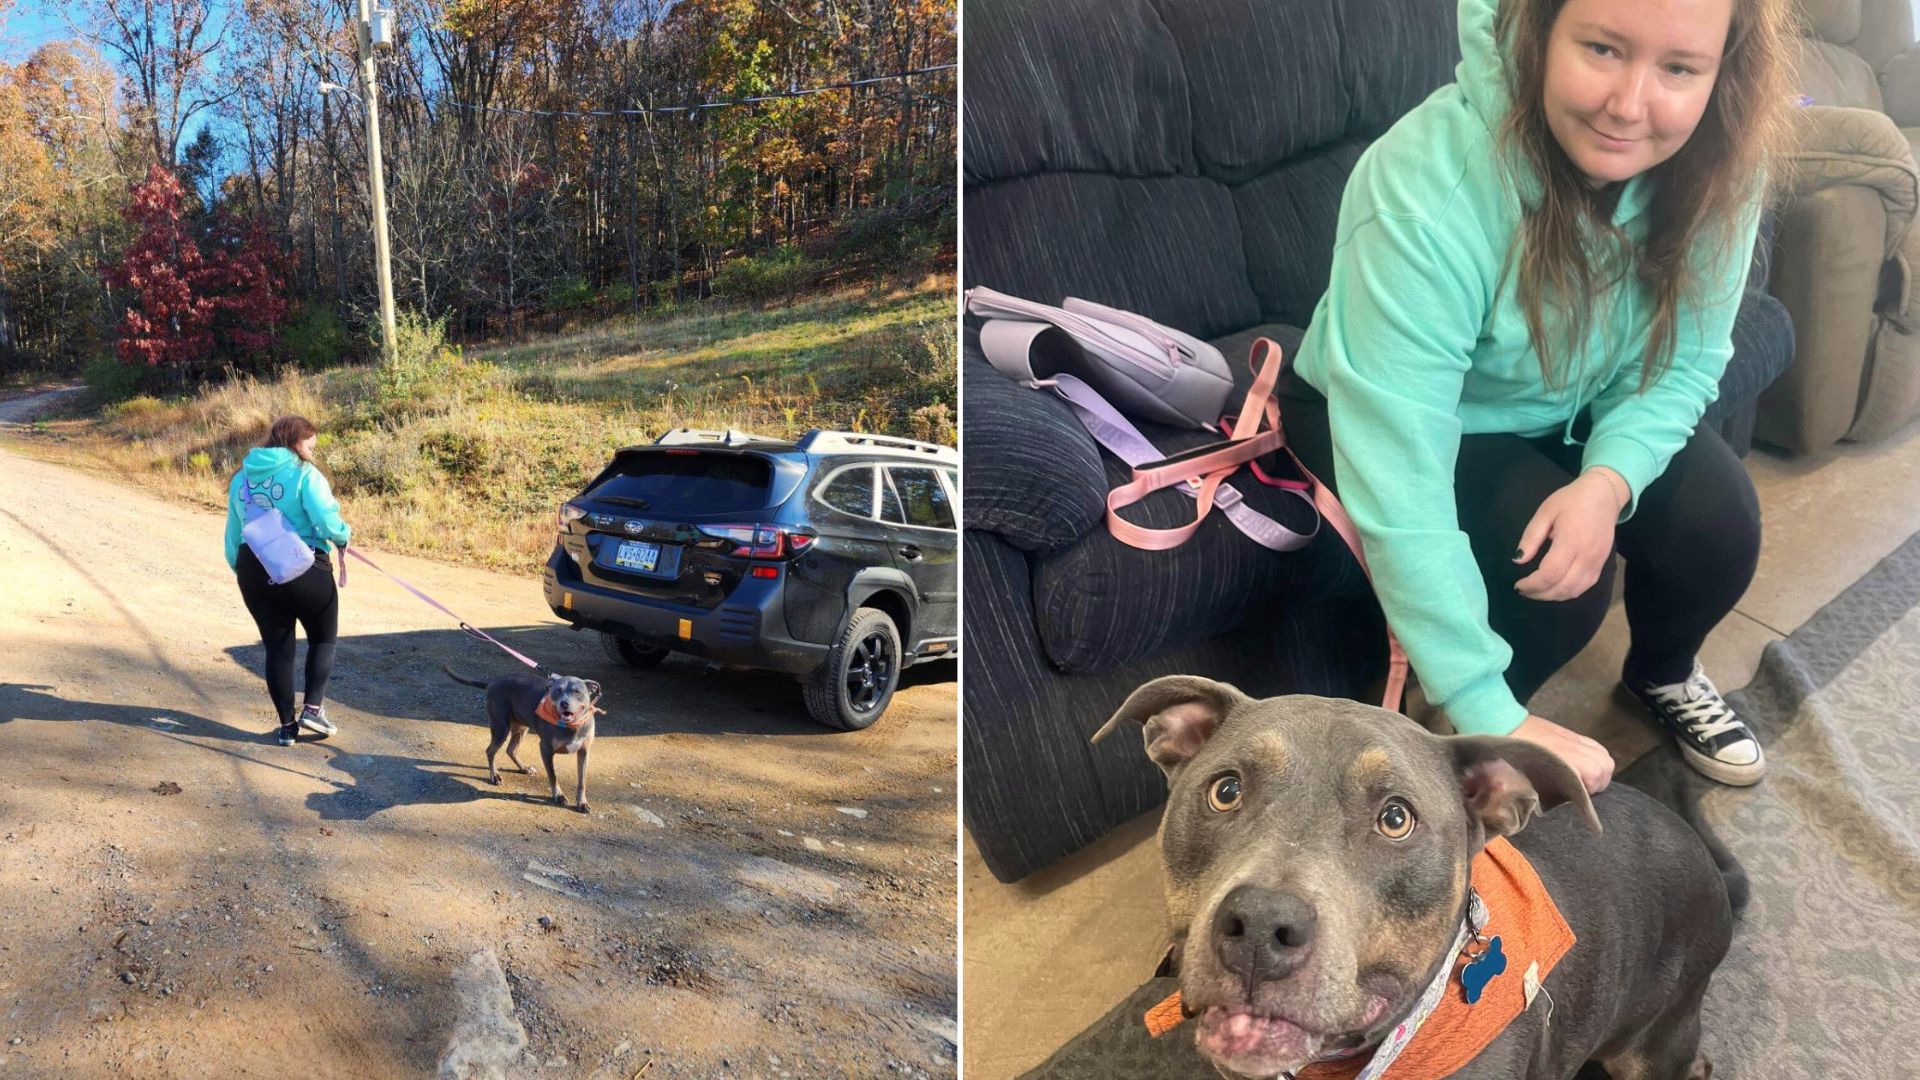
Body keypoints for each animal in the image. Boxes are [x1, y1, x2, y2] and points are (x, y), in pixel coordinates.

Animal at [445, 661, 602, 810]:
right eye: (557, 691)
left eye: (577, 692)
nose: (564, 703)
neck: (572, 726)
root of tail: (493, 681)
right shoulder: (546, 750)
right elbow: (553, 775)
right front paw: (558, 795)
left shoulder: (584, 752)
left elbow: (582, 781)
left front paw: (582, 803)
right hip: (501, 728)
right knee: (490, 751)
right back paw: (495, 776)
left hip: (521, 727)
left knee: (511, 750)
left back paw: (524, 768)